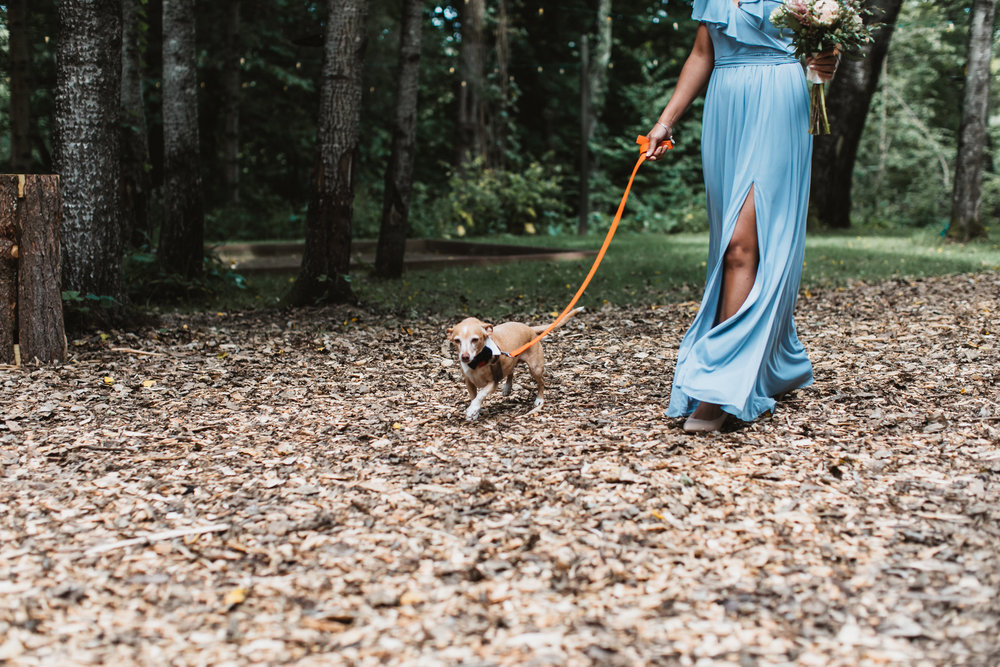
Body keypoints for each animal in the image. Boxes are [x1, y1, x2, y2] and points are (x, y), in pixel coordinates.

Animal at [448, 310, 584, 422]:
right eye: (457, 340)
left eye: (475, 339)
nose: (465, 357)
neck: (478, 361)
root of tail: (529, 328)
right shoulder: (469, 382)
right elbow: (473, 397)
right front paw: (475, 411)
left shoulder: (493, 382)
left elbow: (480, 395)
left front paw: (473, 410)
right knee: (511, 370)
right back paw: (507, 387)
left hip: (535, 368)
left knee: (541, 382)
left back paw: (539, 399)